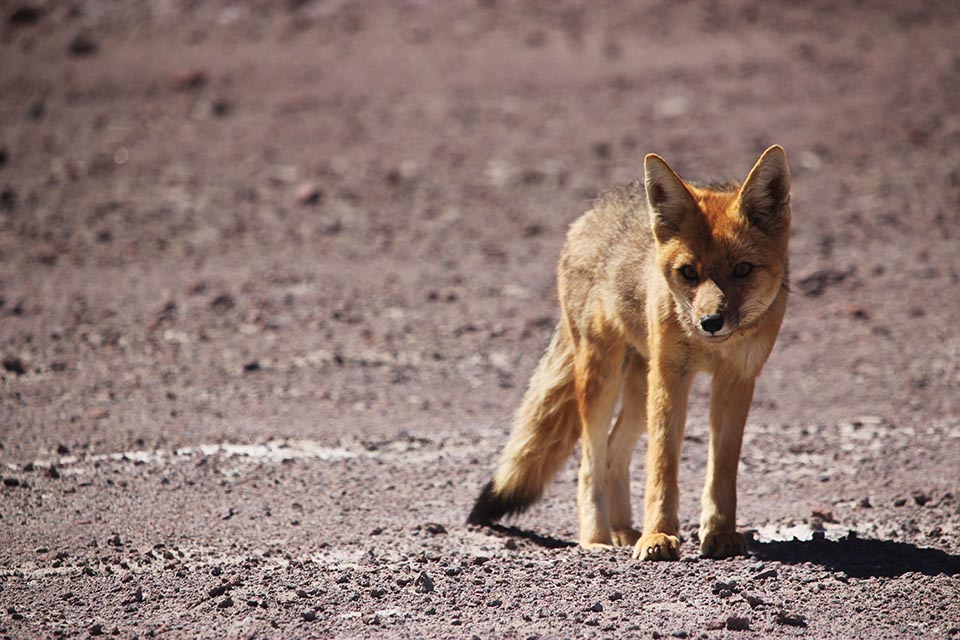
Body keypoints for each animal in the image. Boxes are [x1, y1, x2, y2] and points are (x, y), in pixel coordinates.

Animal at [467, 146, 791, 560]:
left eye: (743, 269)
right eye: (689, 273)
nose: (710, 322)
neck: (709, 347)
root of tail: (594, 210)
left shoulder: (737, 379)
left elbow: (722, 469)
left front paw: (720, 533)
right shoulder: (671, 374)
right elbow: (661, 465)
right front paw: (658, 536)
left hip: (638, 396)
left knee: (613, 452)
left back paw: (623, 529)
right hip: (603, 379)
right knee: (590, 460)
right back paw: (596, 539)